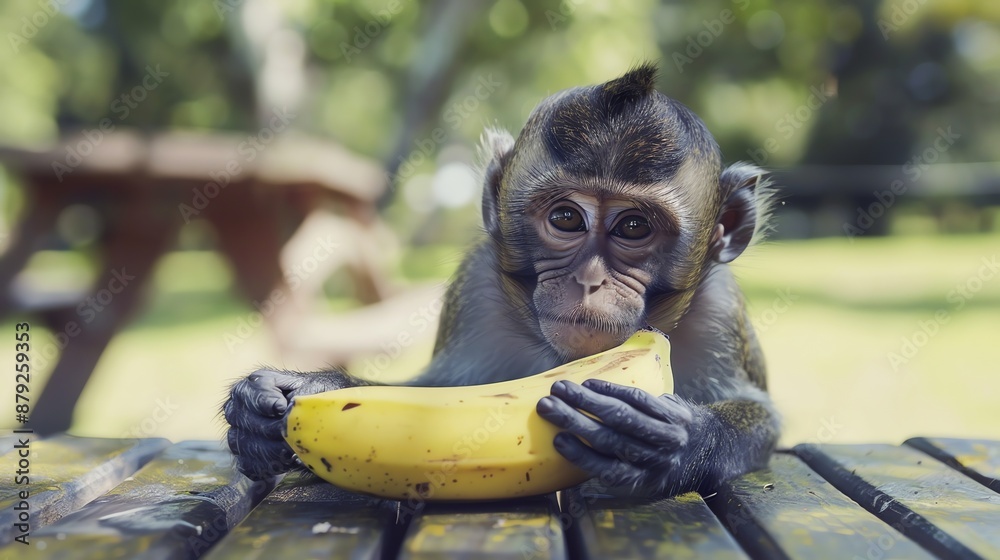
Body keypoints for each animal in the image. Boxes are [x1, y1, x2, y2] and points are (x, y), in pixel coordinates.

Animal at [225, 64, 780, 498]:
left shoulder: (718, 309)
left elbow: (762, 419)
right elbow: (435, 389)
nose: (589, 280)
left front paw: (682, 441)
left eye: (634, 227)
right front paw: (298, 394)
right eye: (566, 218)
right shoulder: (476, 289)